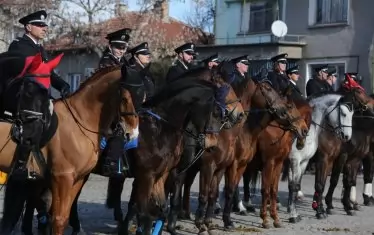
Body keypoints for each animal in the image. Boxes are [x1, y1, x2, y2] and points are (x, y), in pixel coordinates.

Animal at [284, 93, 354, 222]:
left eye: (352, 114)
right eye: (343, 113)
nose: (347, 136)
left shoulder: (325, 161)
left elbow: (321, 183)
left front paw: (319, 208)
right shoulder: (316, 160)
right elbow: (318, 185)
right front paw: (319, 211)